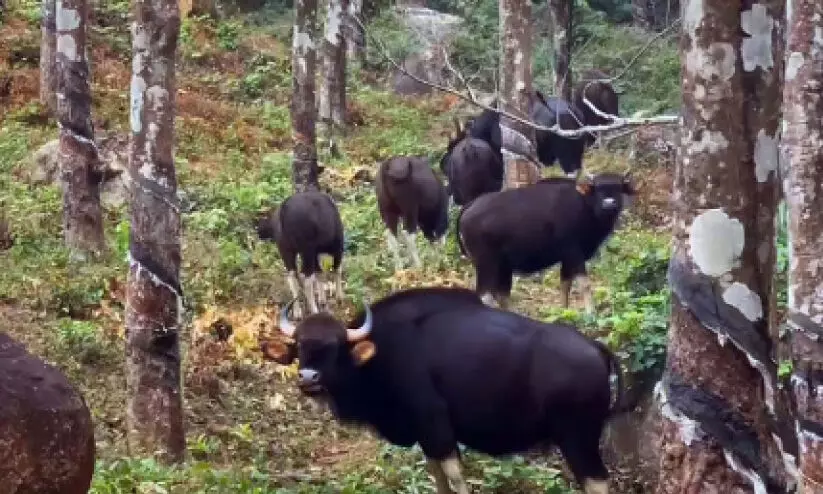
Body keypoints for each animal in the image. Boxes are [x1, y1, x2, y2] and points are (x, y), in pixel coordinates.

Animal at [256, 189, 345, 318]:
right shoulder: (337, 246)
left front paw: (322, 300)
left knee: (292, 276)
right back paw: (314, 311)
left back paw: (297, 312)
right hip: (307, 250)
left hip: (286, 250)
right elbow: (336, 269)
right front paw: (339, 298)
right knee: (306, 278)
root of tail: (284, 210)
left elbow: (319, 273)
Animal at [262, 286, 625, 494]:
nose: (308, 377)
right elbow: (437, 476)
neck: (381, 354)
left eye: (335, 347)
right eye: (299, 346)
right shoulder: (424, 435)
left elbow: (455, 476)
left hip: (578, 440)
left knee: (598, 482)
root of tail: (596, 349)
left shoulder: (437, 426)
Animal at [456, 172, 636, 312]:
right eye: (598, 189)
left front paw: (564, 311)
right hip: (487, 263)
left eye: (618, 188)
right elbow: (584, 284)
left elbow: (565, 284)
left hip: (502, 266)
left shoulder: (567, 258)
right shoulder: (574, 252)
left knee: (501, 294)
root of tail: (469, 207)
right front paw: (591, 313)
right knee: (485, 295)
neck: (585, 205)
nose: (609, 204)